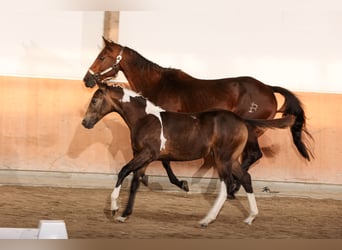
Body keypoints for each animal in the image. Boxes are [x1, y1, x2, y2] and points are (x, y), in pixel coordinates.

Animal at [81, 84, 296, 227]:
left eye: (95, 100)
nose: (85, 123)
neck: (145, 118)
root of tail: (241, 120)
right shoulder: (144, 158)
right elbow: (135, 182)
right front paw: (124, 214)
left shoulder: (147, 154)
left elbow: (123, 171)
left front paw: (114, 208)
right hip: (231, 159)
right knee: (245, 178)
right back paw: (250, 216)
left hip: (222, 159)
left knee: (227, 184)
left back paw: (207, 219)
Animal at [83, 38, 312, 195]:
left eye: (102, 57)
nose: (87, 79)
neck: (159, 85)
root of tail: (268, 89)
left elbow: (166, 161)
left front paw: (180, 183)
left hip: (251, 130)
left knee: (252, 155)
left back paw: (231, 187)